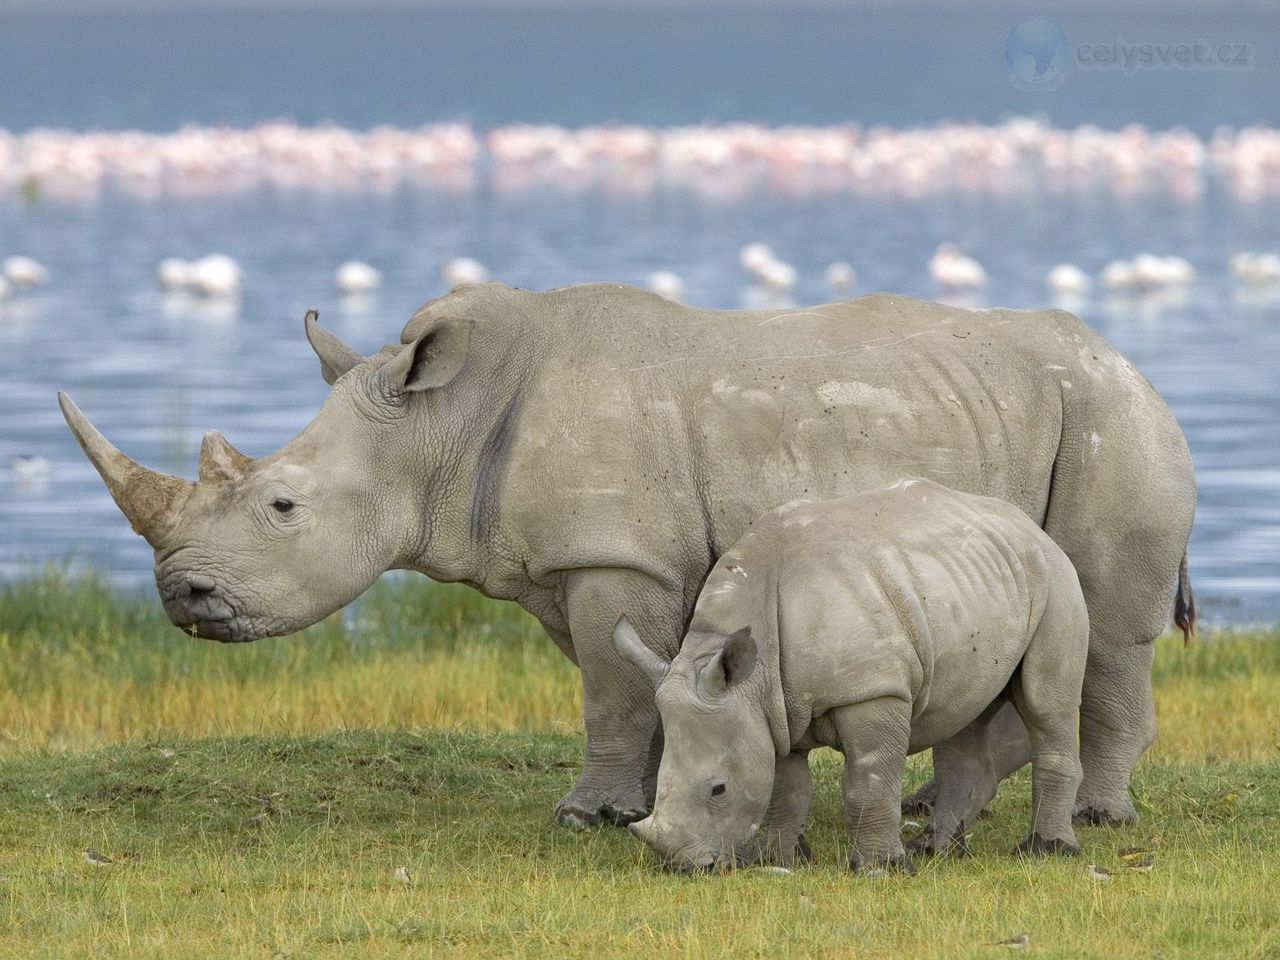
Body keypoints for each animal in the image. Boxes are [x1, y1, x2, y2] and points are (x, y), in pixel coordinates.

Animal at [59, 282, 1195, 831]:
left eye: (282, 505)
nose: (182, 595)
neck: (441, 425)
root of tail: (1132, 362)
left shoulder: (618, 556)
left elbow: (610, 690)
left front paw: (586, 818)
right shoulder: (588, 563)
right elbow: (633, 685)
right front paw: (649, 802)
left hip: (1112, 423)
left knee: (1105, 632)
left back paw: (1095, 816)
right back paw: (933, 806)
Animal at [614, 480, 1089, 873]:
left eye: (719, 789)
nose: (684, 868)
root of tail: (1027, 525)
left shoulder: (872, 691)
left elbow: (869, 780)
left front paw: (880, 869)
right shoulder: (774, 709)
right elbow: (786, 789)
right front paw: (776, 860)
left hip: (1056, 578)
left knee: (1047, 704)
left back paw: (1047, 850)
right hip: (975, 582)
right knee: (963, 713)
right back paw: (934, 849)